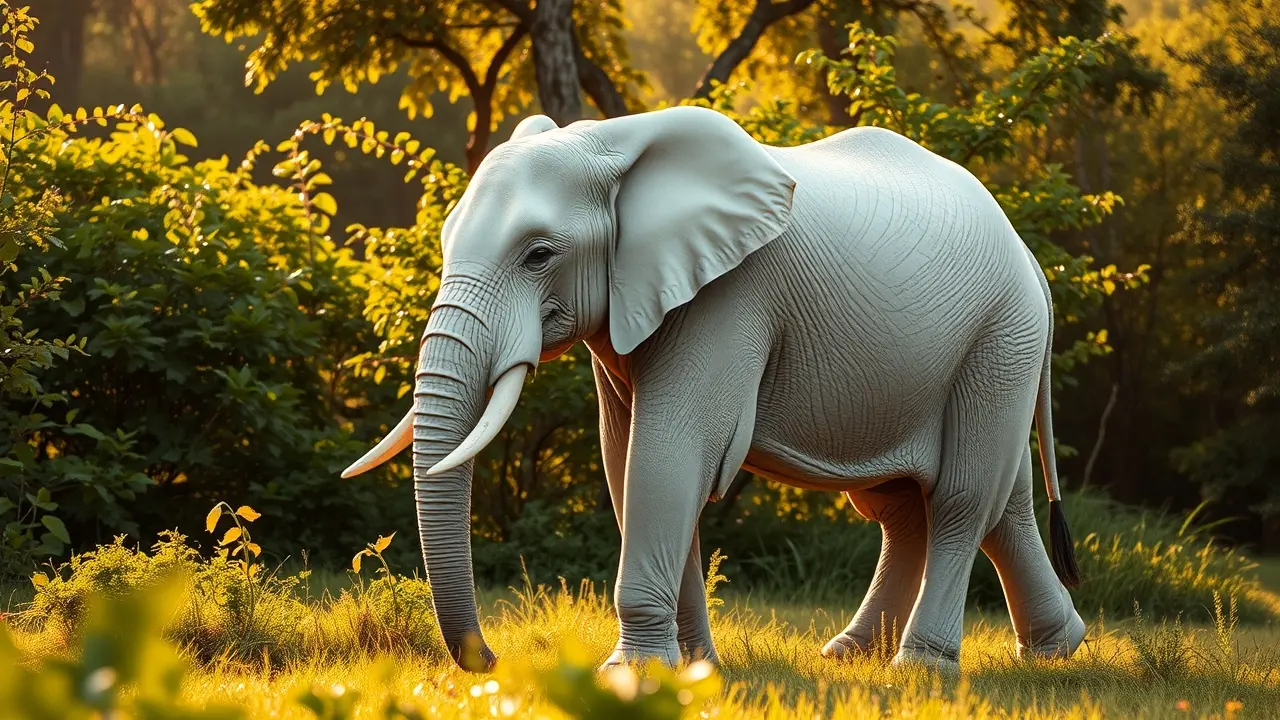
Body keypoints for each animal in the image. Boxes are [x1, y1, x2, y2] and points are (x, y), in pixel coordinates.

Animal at [341, 105, 1087, 673]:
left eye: (538, 256)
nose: (491, 661)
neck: (611, 145)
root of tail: (1031, 260)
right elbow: (628, 461)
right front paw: (693, 667)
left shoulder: (730, 295)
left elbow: (669, 453)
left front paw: (631, 673)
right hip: (984, 352)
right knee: (946, 506)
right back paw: (1014, 651)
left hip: (1000, 336)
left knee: (960, 498)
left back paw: (922, 666)